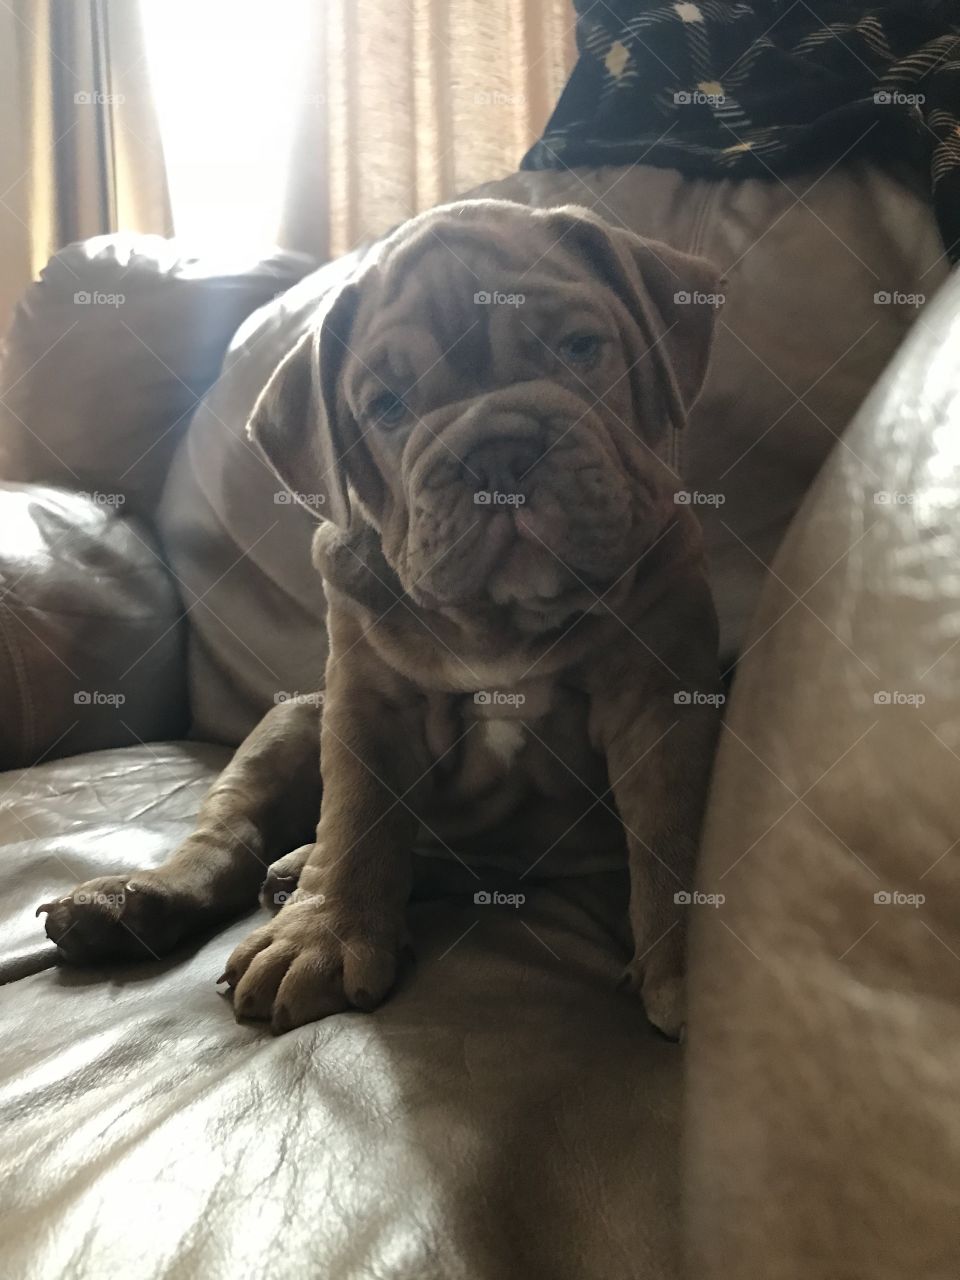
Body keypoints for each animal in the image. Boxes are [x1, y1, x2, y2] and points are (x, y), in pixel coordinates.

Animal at [41, 199, 727, 1039]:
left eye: (580, 348)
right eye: (386, 409)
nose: (496, 455)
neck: (501, 625)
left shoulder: (662, 703)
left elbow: (673, 837)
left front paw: (694, 974)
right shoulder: (365, 702)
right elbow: (359, 815)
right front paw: (324, 938)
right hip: (291, 721)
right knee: (226, 837)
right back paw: (139, 901)